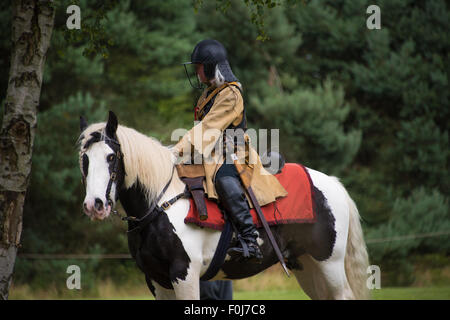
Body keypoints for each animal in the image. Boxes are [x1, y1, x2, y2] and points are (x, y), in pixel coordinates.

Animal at [77, 111, 370, 298]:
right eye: (84, 159)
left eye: (111, 157)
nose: (95, 204)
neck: (160, 203)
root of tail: (333, 184)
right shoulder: (157, 281)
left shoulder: (184, 274)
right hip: (307, 266)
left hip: (329, 264)